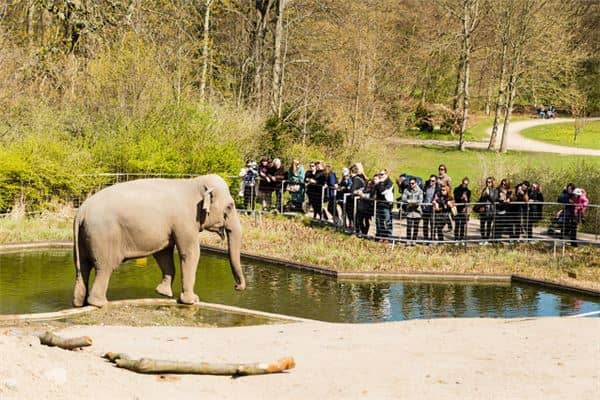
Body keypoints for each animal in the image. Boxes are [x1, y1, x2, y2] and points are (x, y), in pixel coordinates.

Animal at [71, 173, 245, 308]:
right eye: (230, 207)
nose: (237, 287)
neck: (193, 183)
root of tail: (81, 211)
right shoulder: (185, 221)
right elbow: (190, 253)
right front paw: (192, 300)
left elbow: (164, 253)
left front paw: (163, 293)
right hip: (103, 235)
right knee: (105, 267)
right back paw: (100, 303)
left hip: (83, 238)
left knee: (83, 268)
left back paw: (80, 304)